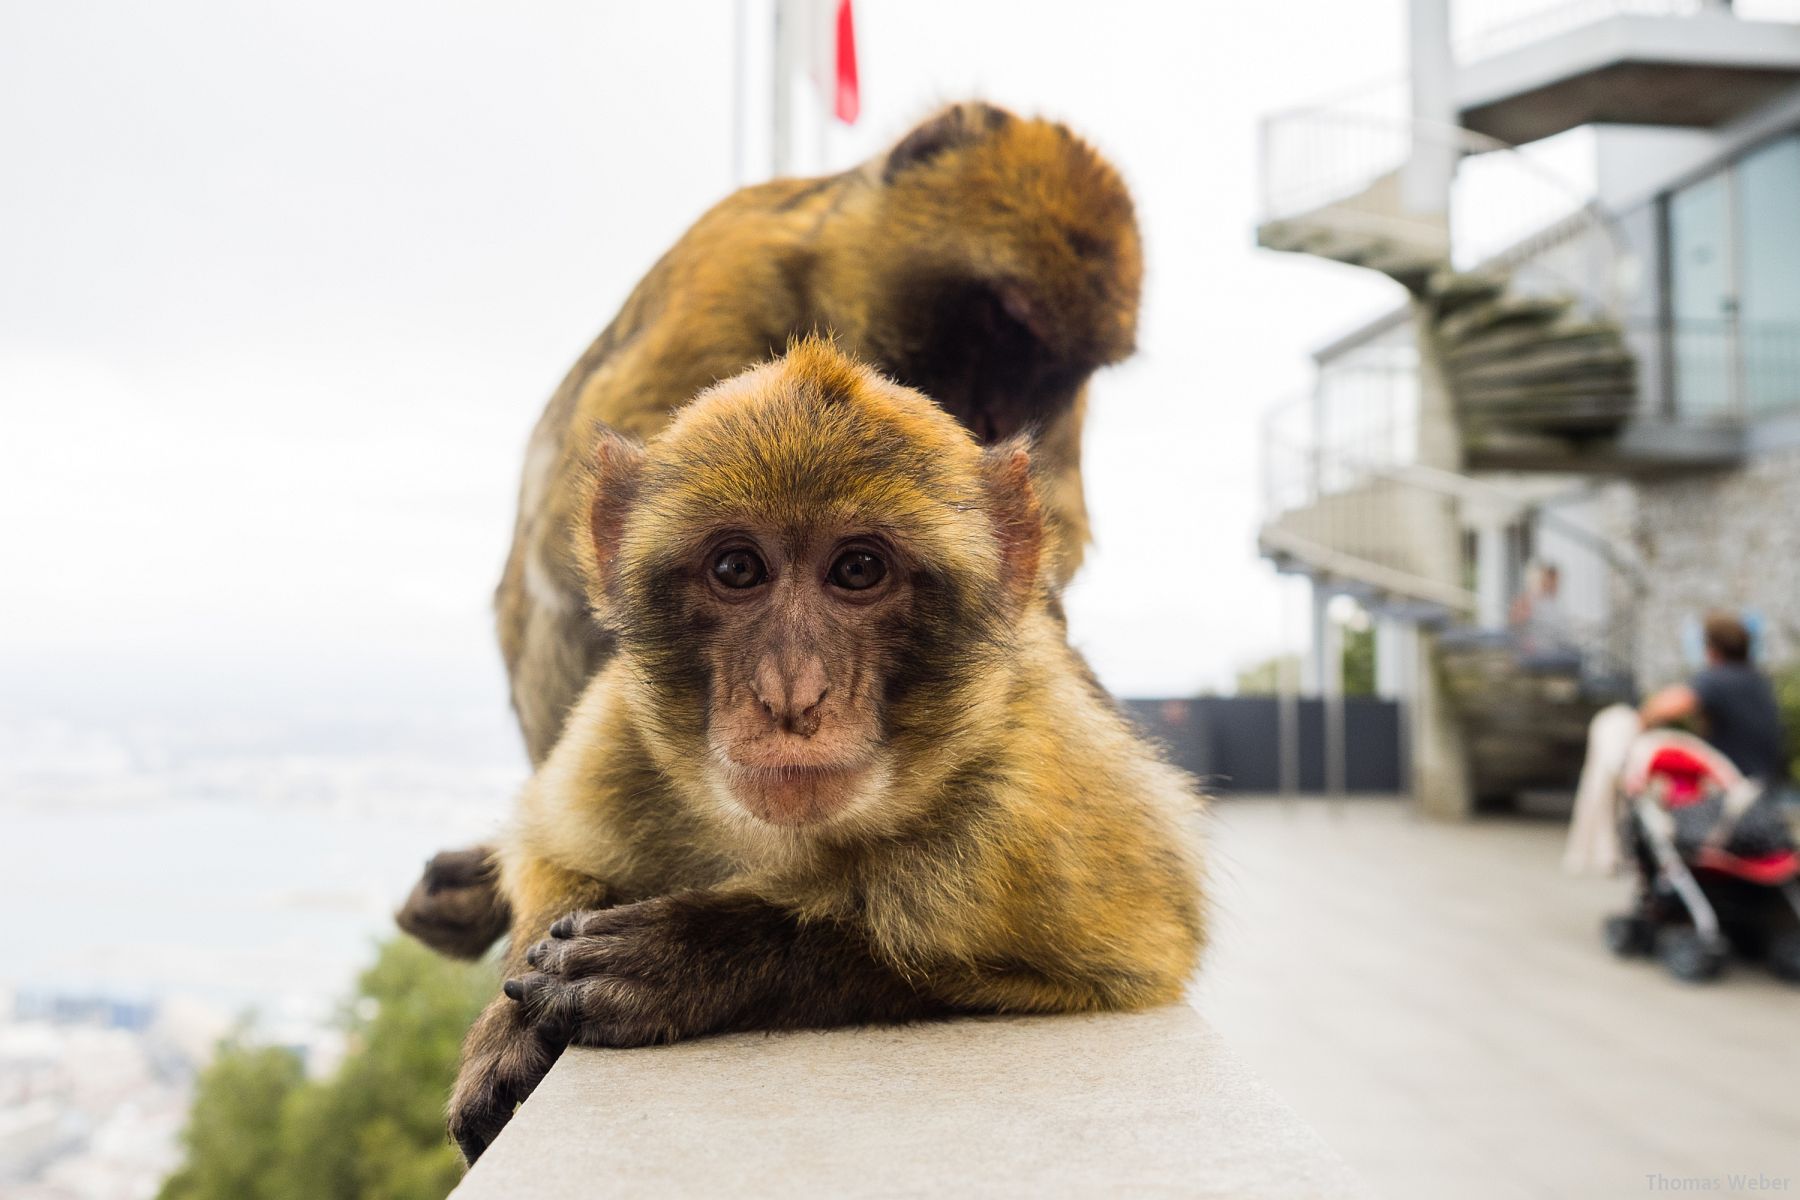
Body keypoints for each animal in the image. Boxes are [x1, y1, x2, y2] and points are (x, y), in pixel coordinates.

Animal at [448, 340, 1209, 1165]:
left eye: (858, 570)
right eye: (737, 568)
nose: (793, 694)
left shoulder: (1031, 791)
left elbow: (1136, 950)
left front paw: (698, 950)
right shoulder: (615, 738)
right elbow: (549, 854)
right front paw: (510, 1029)